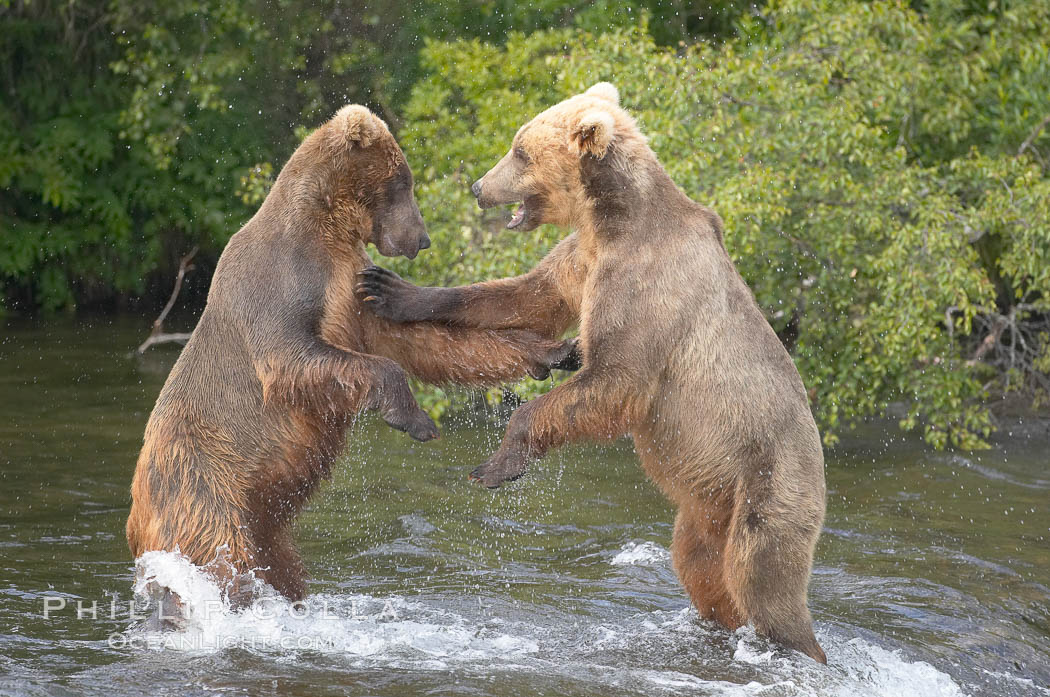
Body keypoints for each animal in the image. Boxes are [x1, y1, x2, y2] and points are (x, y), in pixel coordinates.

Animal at [129, 104, 583, 604]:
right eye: (403, 181)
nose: (422, 239)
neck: (326, 230)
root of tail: (135, 509)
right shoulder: (276, 285)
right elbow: (297, 358)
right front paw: (418, 421)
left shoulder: (350, 286)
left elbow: (421, 339)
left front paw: (556, 350)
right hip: (202, 481)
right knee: (219, 557)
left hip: (263, 521)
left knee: (281, 566)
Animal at [359, 84, 827, 663]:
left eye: (520, 152)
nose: (478, 186)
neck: (611, 221)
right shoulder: (582, 259)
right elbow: (523, 296)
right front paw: (388, 286)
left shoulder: (644, 288)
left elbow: (613, 381)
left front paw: (495, 466)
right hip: (710, 502)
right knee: (701, 566)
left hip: (770, 482)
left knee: (762, 578)